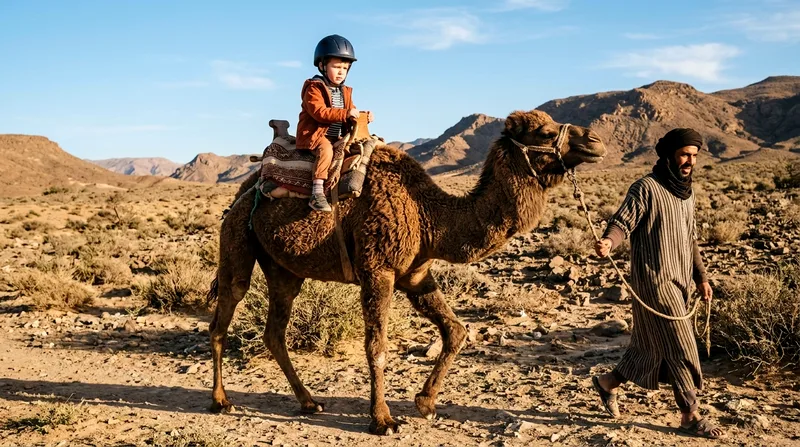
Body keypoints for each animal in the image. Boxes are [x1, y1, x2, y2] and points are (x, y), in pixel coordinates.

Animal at [207, 109, 606, 435]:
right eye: (544, 131)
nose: (595, 140)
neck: (429, 217)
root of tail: (245, 187)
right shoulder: (377, 270)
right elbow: (377, 346)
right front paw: (382, 419)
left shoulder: (415, 276)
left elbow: (456, 331)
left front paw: (425, 402)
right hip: (237, 240)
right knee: (224, 313)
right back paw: (221, 401)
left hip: (283, 269)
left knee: (275, 331)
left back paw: (308, 401)